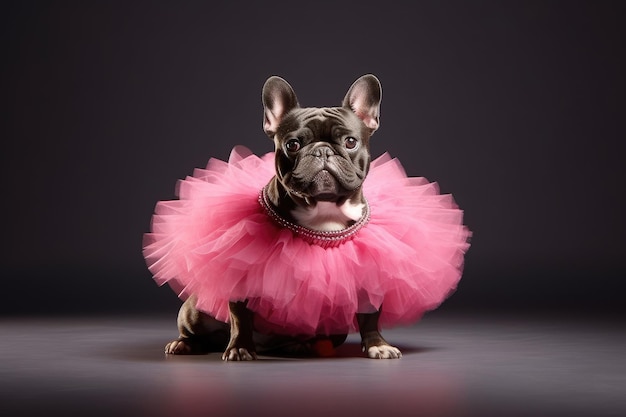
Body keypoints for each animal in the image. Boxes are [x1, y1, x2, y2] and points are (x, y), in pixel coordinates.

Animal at [163, 74, 402, 358]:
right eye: (293, 144)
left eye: (350, 142)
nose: (322, 150)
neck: (323, 208)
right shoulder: (242, 274)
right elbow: (240, 316)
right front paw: (240, 347)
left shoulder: (369, 275)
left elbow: (370, 316)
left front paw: (378, 344)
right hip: (195, 311)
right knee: (199, 331)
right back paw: (185, 344)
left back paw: (299, 346)